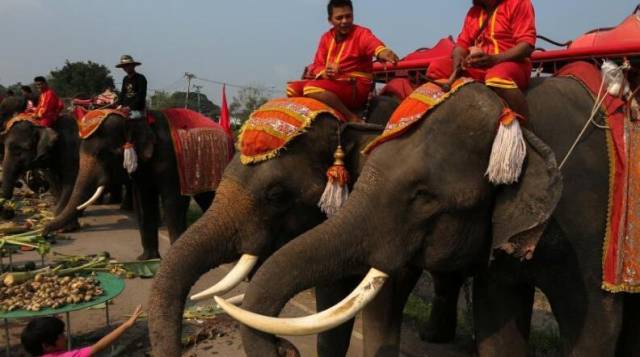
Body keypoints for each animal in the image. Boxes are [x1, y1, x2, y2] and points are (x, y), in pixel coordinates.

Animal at [42, 111, 222, 258]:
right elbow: (143, 200)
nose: (44, 233)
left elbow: (174, 200)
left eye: (103, 154)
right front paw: (146, 259)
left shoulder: (172, 161)